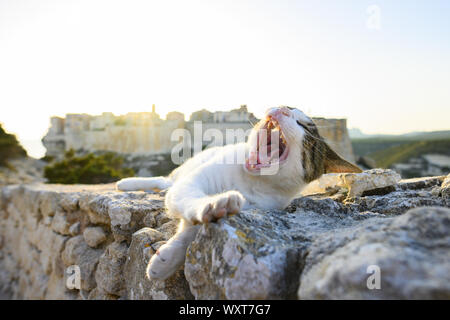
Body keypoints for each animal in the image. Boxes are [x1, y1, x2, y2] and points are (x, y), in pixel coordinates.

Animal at [117, 105, 362, 280]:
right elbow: (191, 200)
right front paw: (214, 204)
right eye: (290, 107)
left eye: (303, 124)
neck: (250, 178)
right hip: (186, 170)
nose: (283, 108)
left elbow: (190, 232)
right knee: (165, 181)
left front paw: (166, 260)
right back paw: (126, 183)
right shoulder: (191, 183)